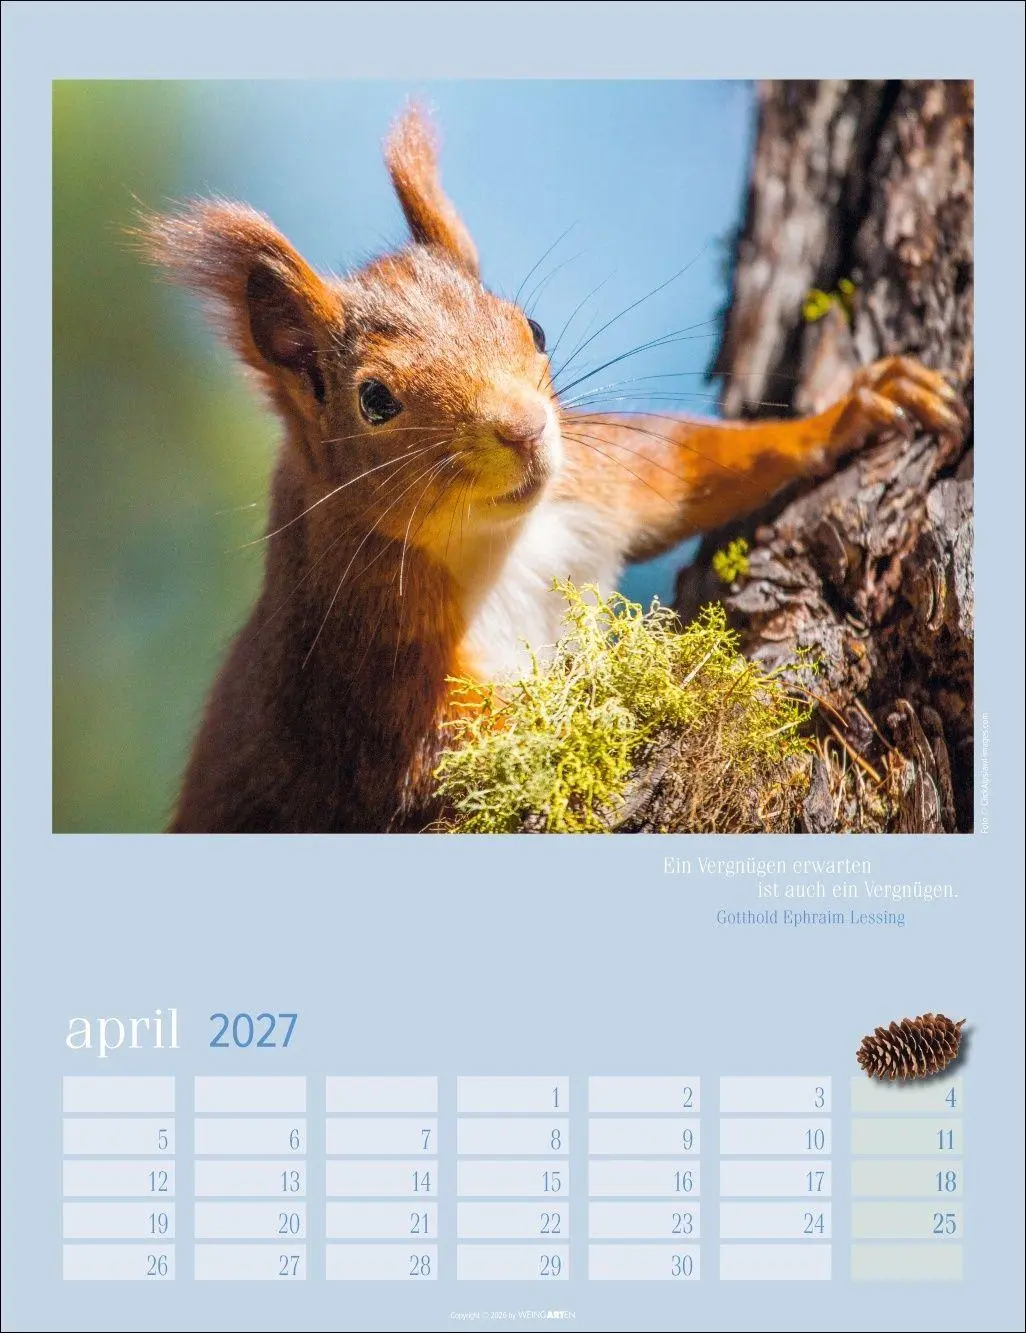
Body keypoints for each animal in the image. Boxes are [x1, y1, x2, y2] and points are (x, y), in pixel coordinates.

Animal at [143, 106, 966, 834]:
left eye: (531, 327)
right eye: (375, 399)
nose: (524, 428)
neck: (502, 539)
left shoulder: (594, 486)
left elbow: (693, 464)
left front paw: (853, 410)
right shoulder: (364, 669)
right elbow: (466, 750)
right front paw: (625, 706)